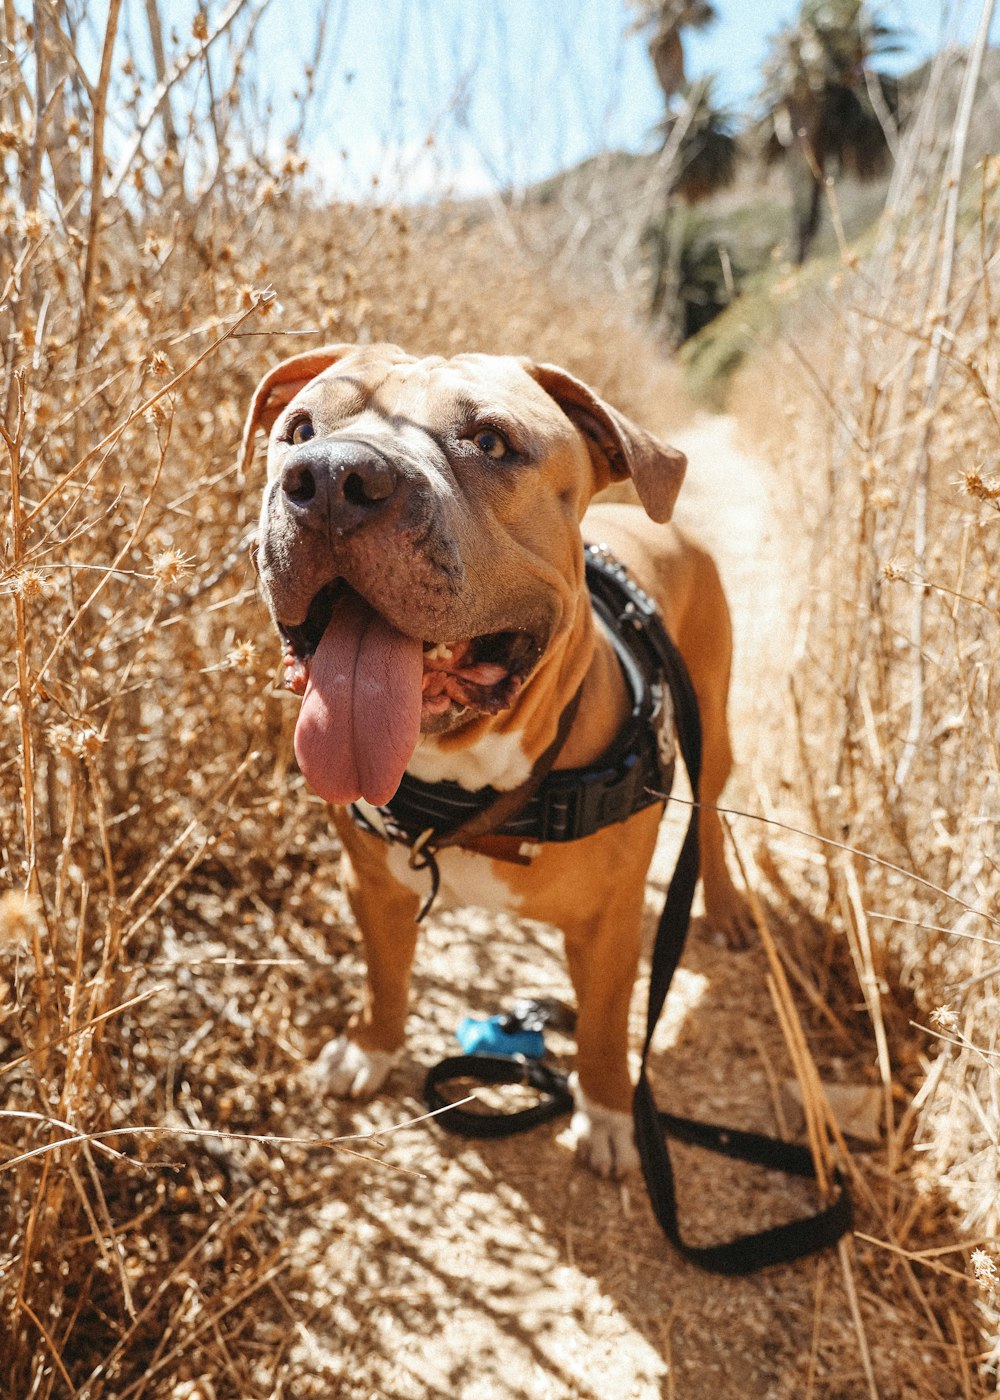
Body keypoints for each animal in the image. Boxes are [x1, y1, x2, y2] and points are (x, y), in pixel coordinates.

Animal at [240, 344, 750, 1176]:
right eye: (301, 428)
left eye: (491, 442)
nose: (331, 480)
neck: (469, 781)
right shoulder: (372, 887)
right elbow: (385, 977)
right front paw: (370, 1048)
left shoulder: (608, 933)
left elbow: (605, 1028)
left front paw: (607, 1114)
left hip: (715, 725)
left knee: (710, 819)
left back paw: (729, 907)